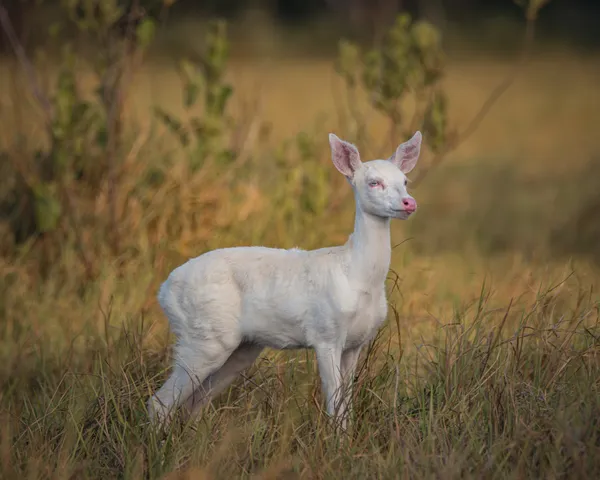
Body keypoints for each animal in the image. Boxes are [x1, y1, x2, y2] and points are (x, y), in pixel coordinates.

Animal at [148, 130, 424, 428]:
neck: (357, 275)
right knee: (160, 403)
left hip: (240, 347)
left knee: (193, 404)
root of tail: (163, 291)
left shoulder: (356, 343)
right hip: (203, 335)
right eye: (374, 182)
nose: (409, 202)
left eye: (405, 180)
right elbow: (334, 404)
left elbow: (346, 407)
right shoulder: (325, 333)